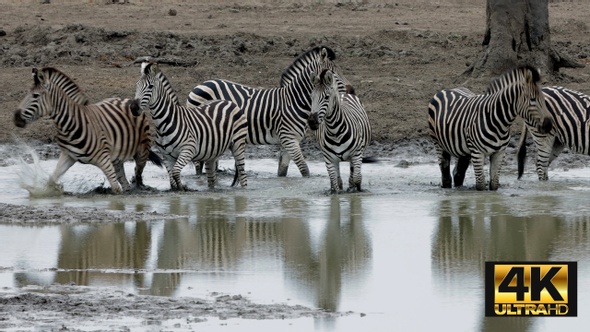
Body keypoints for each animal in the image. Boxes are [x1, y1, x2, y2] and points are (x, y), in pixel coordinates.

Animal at [13, 67, 161, 193]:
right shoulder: (68, 155)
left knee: (138, 174)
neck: (69, 125)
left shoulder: (103, 159)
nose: (15, 118)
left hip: (141, 152)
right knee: (125, 183)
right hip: (117, 159)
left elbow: (116, 189)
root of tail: (127, 100)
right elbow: (51, 179)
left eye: (35, 96)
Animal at [135, 59, 249, 189]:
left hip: (238, 143)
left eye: (150, 87)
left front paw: (184, 188)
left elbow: (175, 173)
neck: (165, 123)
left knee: (243, 175)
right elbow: (172, 180)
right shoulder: (167, 156)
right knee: (212, 178)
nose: (134, 107)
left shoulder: (188, 149)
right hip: (212, 153)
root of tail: (229, 102)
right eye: (136, 85)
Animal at [187, 46, 350, 179]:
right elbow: (305, 170)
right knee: (198, 165)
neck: (294, 100)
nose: (350, 90)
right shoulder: (289, 138)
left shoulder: (290, 140)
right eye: (332, 73)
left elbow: (282, 171)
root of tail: (200, 85)